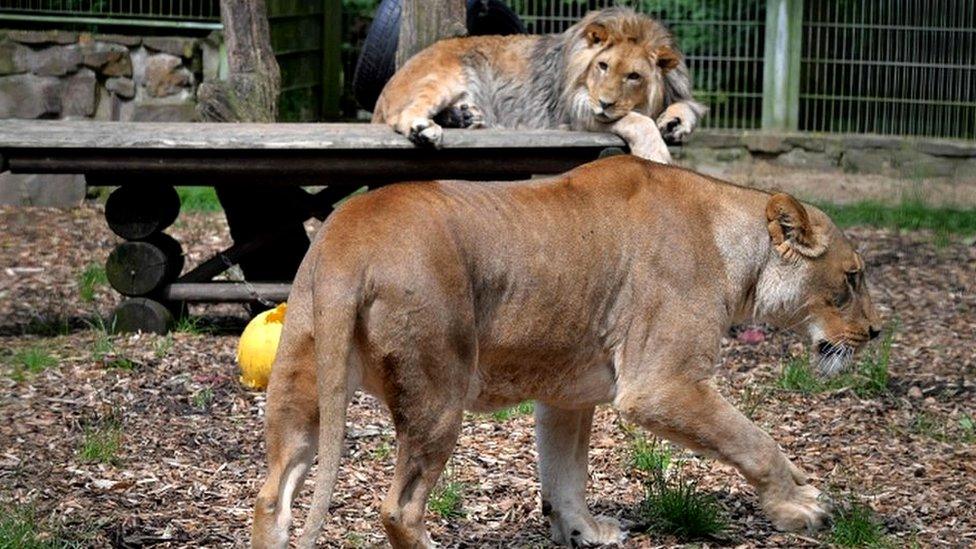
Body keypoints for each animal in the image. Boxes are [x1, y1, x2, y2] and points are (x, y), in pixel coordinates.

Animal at [254, 155, 884, 548]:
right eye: (852, 278)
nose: (877, 332)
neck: (734, 246)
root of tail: (349, 239)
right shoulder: (661, 385)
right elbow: (754, 440)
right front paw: (800, 508)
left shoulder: (566, 393)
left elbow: (564, 474)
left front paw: (581, 530)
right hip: (438, 393)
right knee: (399, 510)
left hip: (301, 387)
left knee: (272, 498)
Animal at [372, 6, 700, 163]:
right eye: (603, 66)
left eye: (634, 76)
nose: (605, 103)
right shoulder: (575, 112)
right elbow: (637, 121)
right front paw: (656, 155)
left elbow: (688, 105)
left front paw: (675, 122)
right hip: (443, 78)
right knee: (401, 115)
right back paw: (424, 129)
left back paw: (463, 117)